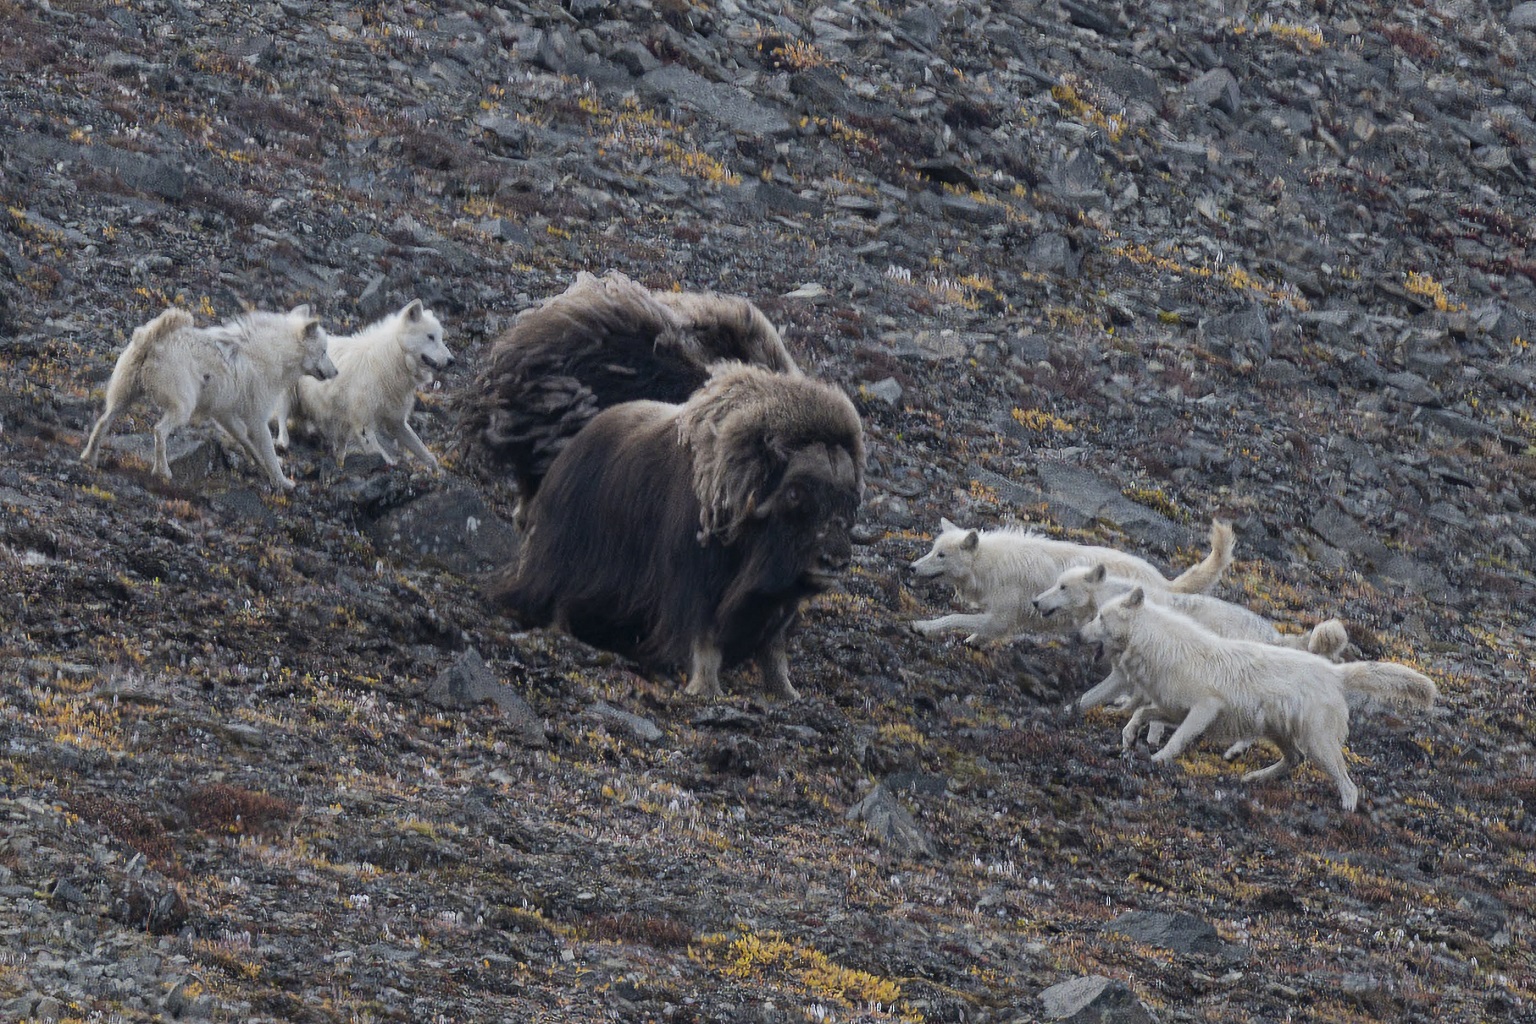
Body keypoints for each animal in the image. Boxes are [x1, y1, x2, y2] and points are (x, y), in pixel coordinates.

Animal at [81, 305, 335, 489]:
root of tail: (153, 338)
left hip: (124, 396)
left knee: (103, 422)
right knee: (159, 431)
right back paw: (162, 471)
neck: (278, 352)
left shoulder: (224, 413)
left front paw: (259, 465)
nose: (336, 372)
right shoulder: (256, 416)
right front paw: (282, 481)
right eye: (323, 351)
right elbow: (267, 450)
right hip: (182, 406)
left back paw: (89, 458)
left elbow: (245, 440)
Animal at [274, 300, 452, 472]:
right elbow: (380, 453)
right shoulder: (363, 424)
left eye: (440, 338)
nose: (452, 360)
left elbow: (423, 451)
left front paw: (436, 471)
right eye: (430, 337)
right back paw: (283, 442)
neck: (389, 359)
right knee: (282, 417)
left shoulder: (396, 421)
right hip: (287, 393)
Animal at [909, 518, 1234, 642]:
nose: (911, 568)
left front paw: (923, 626)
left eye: (941, 555)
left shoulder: (1002, 615)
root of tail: (1165, 583)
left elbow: (954, 618)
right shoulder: (1001, 618)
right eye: (932, 550)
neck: (992, 564)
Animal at [1080, 587, 1437, 811]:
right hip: (1279, 732)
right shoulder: (1173, 708)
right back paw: (1253, 778)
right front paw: (1128, 739)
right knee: (1294, 759)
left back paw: (1347, 806)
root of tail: (1333, 671)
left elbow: (1177, 738)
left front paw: (1158, 759)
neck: (1163, 646)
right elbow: (1141, 715)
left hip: (1317, 742)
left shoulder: (1204, 708)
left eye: (1100, 617)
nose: (1079, 634)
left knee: (1345, 780)